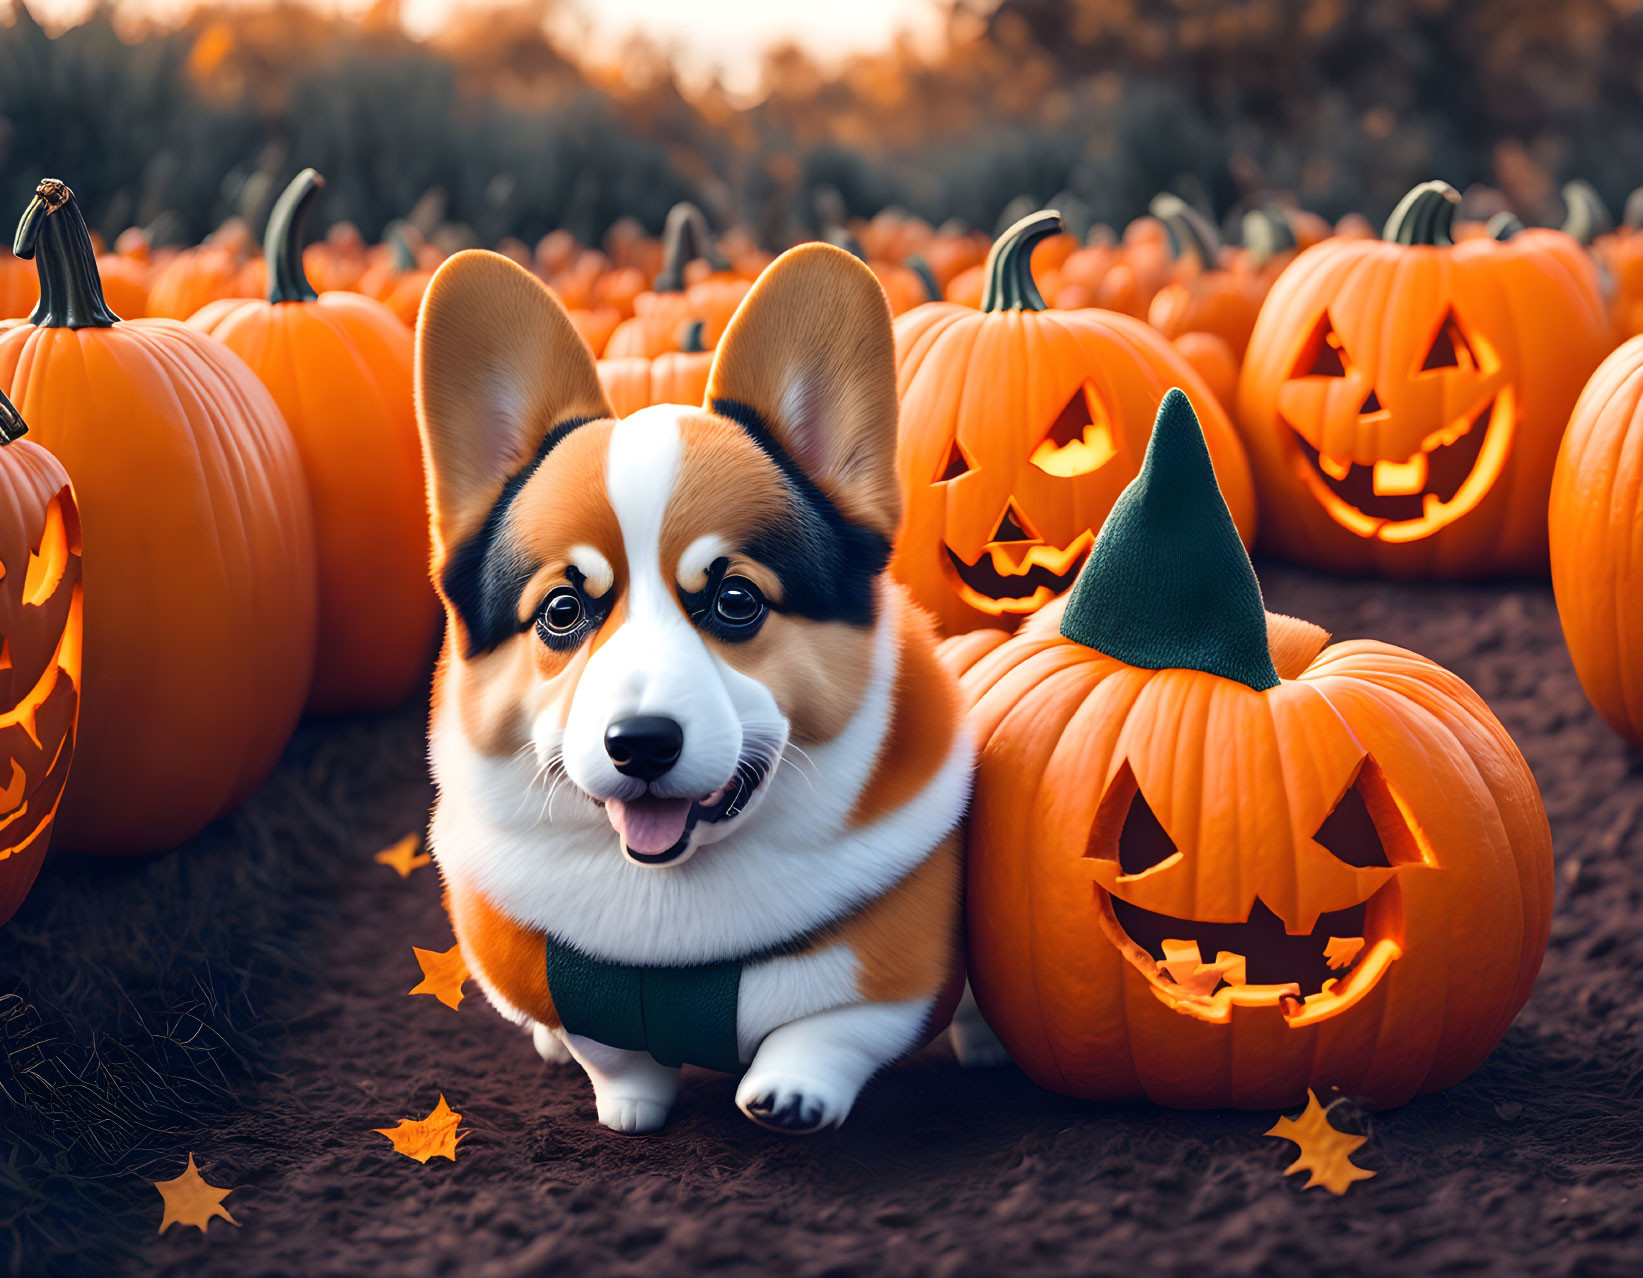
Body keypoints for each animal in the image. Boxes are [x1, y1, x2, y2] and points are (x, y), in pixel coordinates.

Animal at [417, 244, 992, 1130]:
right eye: (561, 611)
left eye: (735, 601)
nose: (641, 745)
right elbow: (609, 1053)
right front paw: (630, 1107)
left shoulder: (895, 977)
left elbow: (830, 1031)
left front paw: (789, 1094)